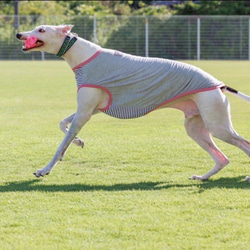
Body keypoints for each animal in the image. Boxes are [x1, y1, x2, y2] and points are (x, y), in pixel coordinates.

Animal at [16, 24, 249, 182]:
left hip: (217, 125)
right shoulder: (91, 109)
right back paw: (202, 177)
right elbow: (62, 125)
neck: (83, 55)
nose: (19, 34)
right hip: (195, 126)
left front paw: (45, 169)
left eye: (41, 30)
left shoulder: (84, 113)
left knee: (243, 144)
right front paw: (78, 142)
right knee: (222, 159)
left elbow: (60, 145)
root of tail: (220, 85)